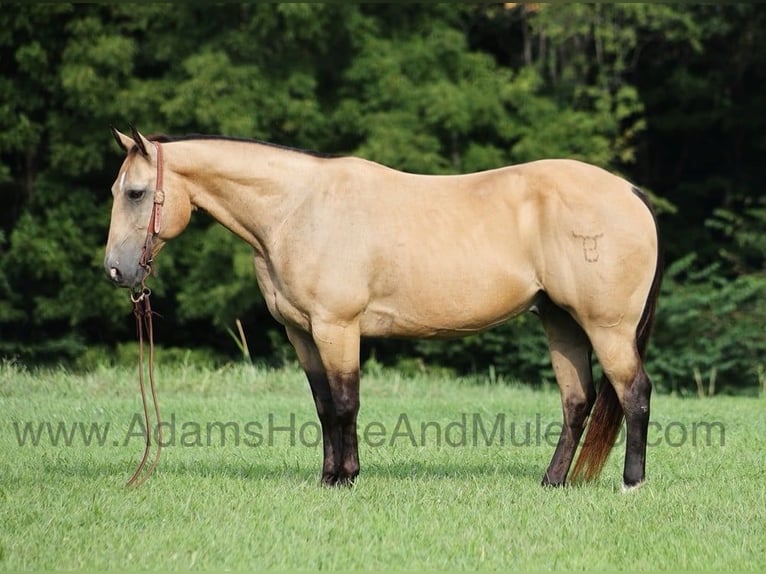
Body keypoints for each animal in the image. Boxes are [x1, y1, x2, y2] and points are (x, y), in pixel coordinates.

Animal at [104, 127, 662, 491]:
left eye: (136, 193)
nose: (115, 271)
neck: (297, 210)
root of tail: (631, 192)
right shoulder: (302, 333)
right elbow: (324, 406)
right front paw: (328, 477)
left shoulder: (337, 326)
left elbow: (346, 402)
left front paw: (347, 478)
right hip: (560, 321)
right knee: (577, 402)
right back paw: (552, 481)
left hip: (607, 328)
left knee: (634, 393)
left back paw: (631, 483)